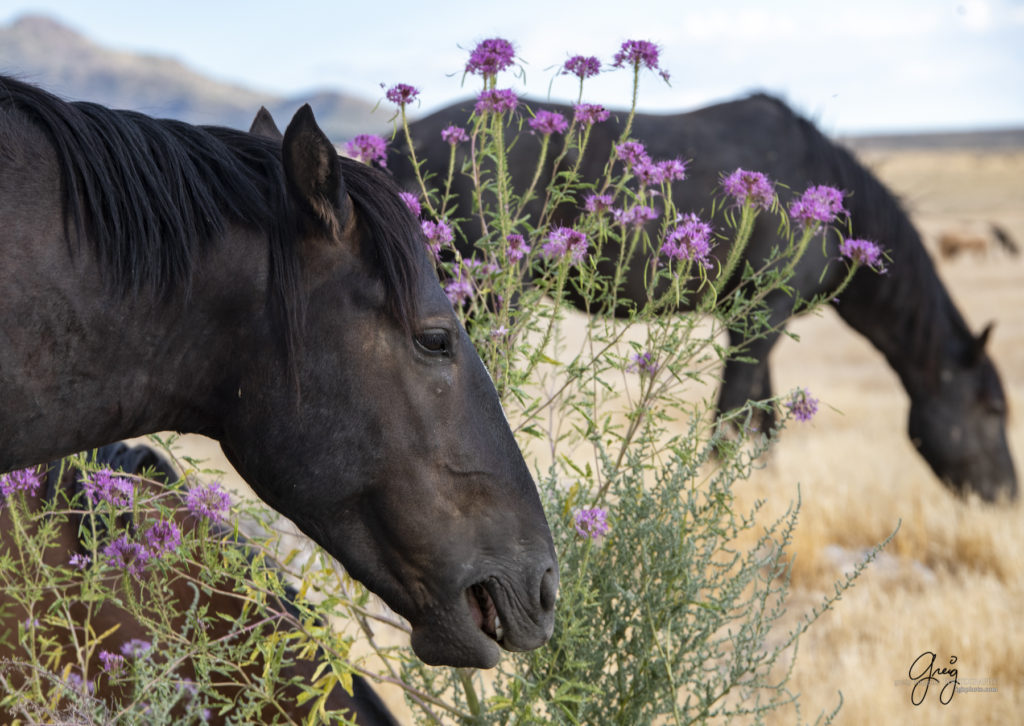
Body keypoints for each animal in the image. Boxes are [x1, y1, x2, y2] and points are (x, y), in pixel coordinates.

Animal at [389, 93, 1015, 501]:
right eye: (992, 410)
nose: (1007, 496)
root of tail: (400, 145)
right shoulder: (762, 314)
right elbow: (732, 417)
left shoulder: (754, 320)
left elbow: (761, 419)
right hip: (490, 296)